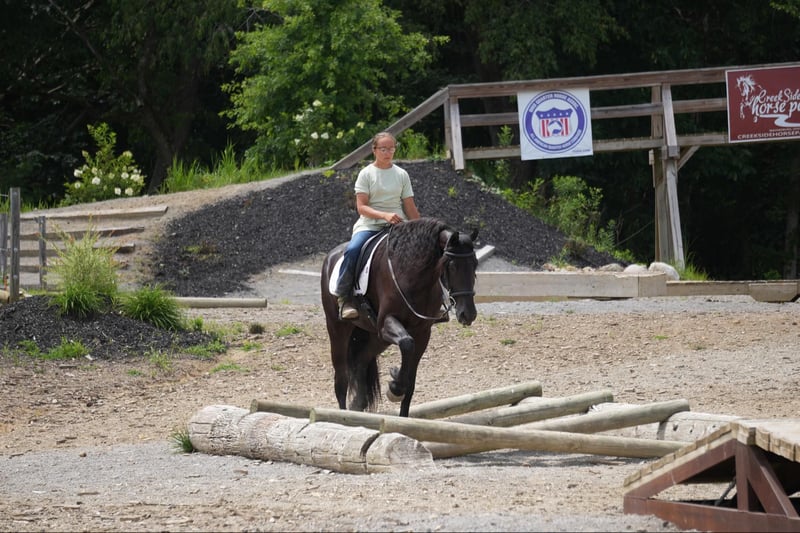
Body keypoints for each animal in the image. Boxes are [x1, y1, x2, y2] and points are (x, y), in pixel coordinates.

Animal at [320, 217, 479, 417]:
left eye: (475, 263)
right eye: (451, 265)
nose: (468, 314)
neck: (413, 275)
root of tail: (330, 256)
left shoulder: (422, 333)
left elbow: (410, 385)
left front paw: (398, 389)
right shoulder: (387, 322)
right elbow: (406, 343)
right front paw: (395, 386)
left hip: (377, 337)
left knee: (361, 360)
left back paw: (358, 404)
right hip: (338, 329)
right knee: (341, 380)